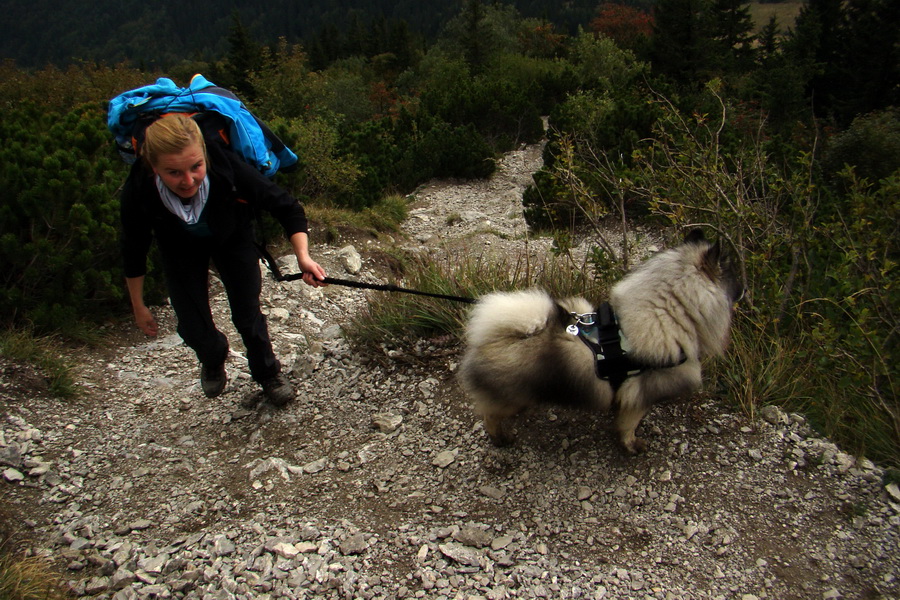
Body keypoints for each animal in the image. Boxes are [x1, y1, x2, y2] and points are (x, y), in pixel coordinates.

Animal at [460, 231, 740, 454]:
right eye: (733, 277)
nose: (744, 290)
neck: (669, 312)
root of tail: (488, 338)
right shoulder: (640, 393)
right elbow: (629, 425)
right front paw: (632, 445)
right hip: (511, 399)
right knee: (490, 415)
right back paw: (501, 438)